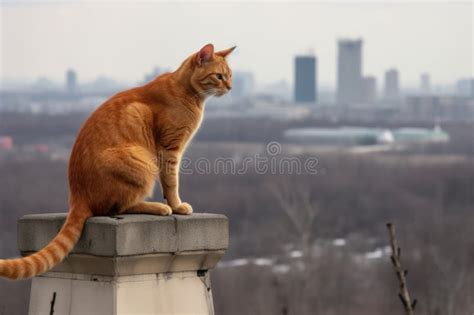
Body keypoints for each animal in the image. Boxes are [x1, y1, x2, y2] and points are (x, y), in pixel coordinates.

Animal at [0, 43, 236, 280]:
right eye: (219, 76)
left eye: (231, 76)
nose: (230, 87)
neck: (187, 92)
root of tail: (77, 196)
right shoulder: (169, 149)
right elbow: (171, 182)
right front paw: (176, 205)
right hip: (142, 161)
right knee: (119, 208)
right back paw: (158, 207)